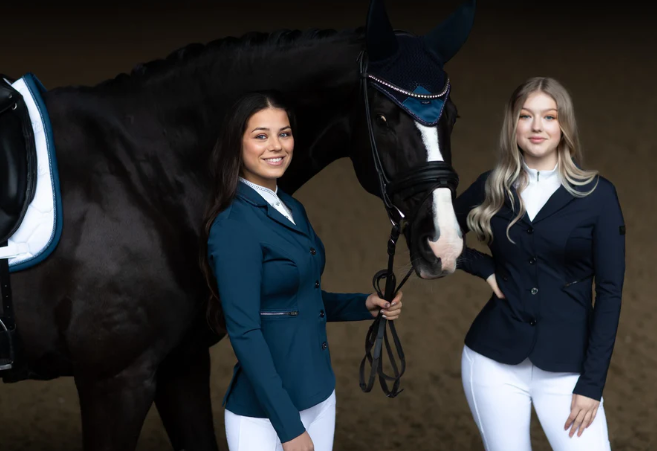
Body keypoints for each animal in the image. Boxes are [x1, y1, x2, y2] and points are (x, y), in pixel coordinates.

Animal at [0, 0, 475, 449]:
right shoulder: (115, 380)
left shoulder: (182, 362)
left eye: (452, 116)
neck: (141, 174)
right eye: (382, 116)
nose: (445, 245)